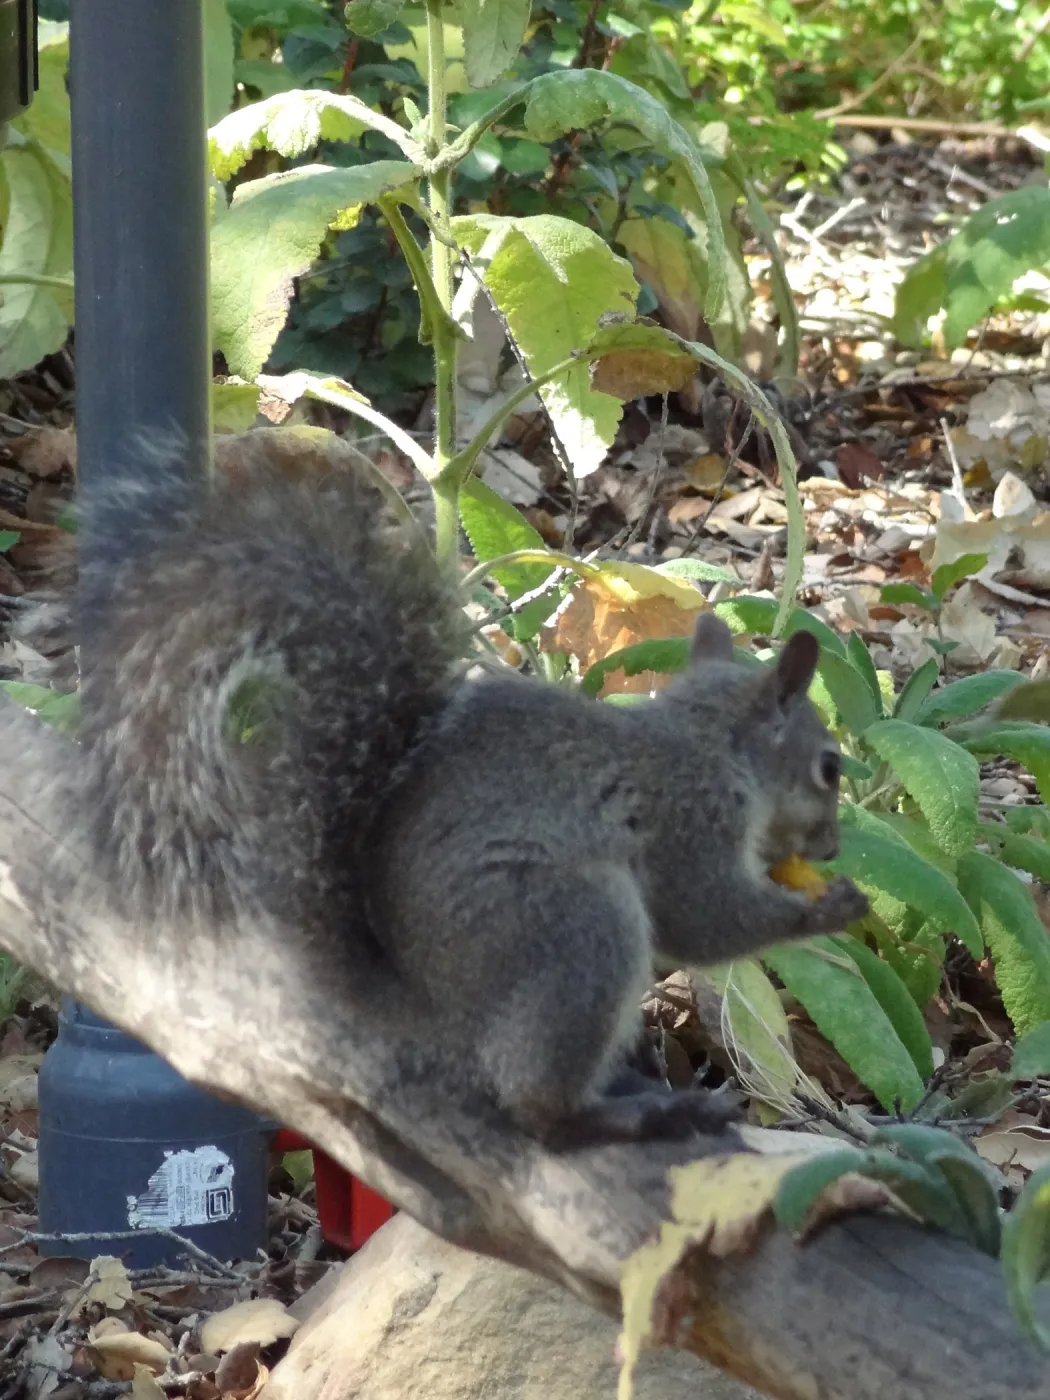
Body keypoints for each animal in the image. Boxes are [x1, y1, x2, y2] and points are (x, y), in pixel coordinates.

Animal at [58, 430, 868, 1150]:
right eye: (829, 767)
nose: (832, 845)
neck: (714, 744)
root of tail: (425, 1011)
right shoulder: (689, 814)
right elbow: (704, 920)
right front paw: (831, 908)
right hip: (571, 926)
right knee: (537, 1111)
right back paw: (637, 1115)